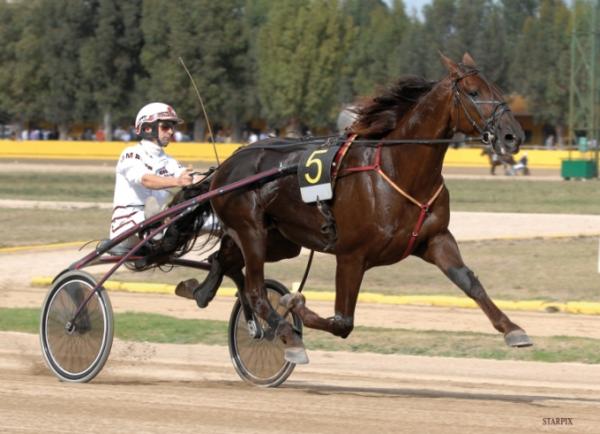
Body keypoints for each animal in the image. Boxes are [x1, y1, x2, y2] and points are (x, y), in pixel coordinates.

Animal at [199, 54, 528, 362]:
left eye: (497, 90)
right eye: (473, 92)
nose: (513, 135)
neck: (399, 171)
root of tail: (229, 163)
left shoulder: (435, 239)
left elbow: (469, 282)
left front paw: (513, 329)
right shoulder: (351, 256)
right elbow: (342, 322)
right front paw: (293, 305)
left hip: (280, 239)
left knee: (225, 259)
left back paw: (202, 289)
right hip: (251, 230)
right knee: (255, 291)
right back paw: (286, 335)